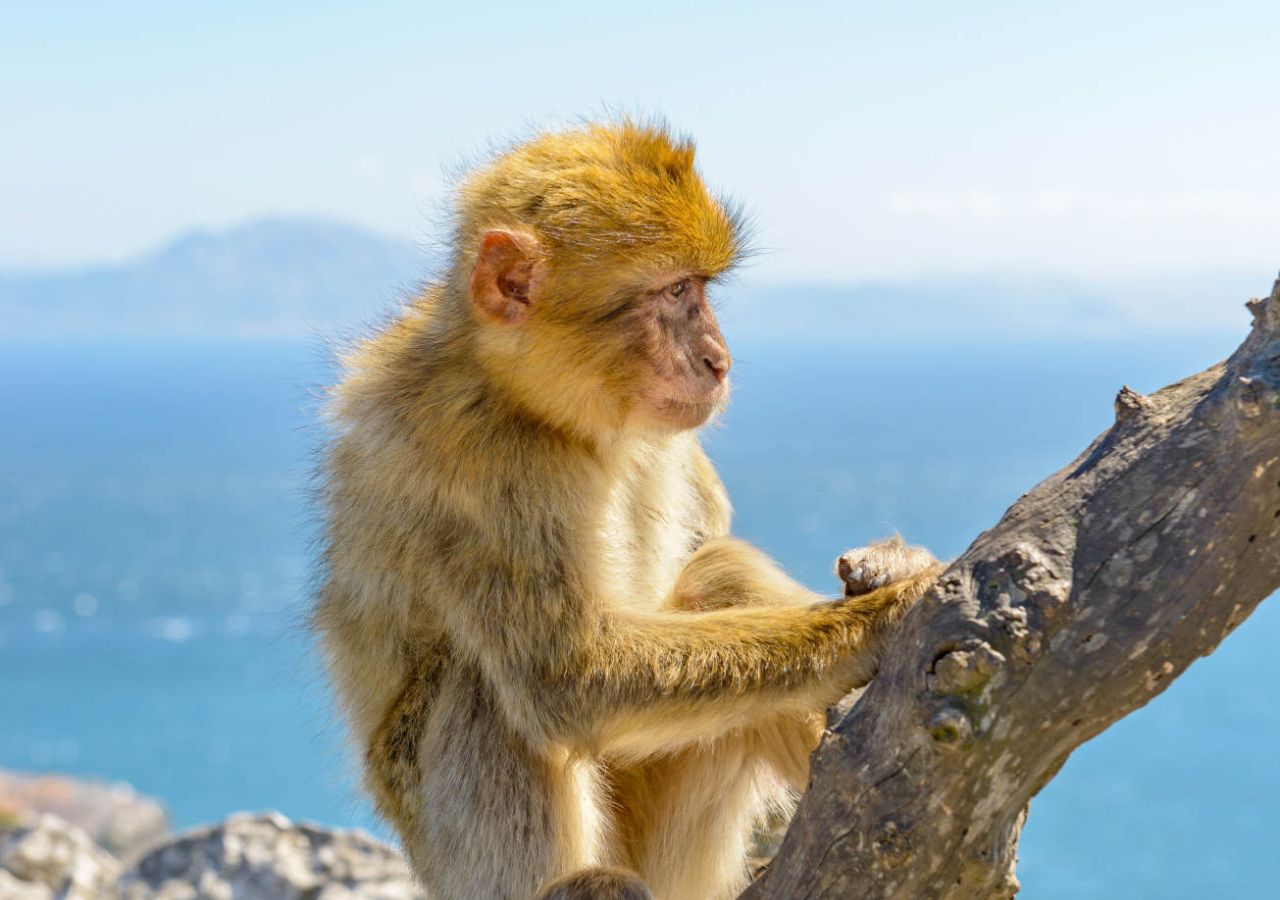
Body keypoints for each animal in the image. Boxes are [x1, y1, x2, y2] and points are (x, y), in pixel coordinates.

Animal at [313, 121, 943, 900]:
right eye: (672, 292)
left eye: (699, 289)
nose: (717, 360)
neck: (553, 414)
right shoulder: (478, 464)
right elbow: (570, 679)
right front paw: (884, 616)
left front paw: (892, 567)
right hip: (459, 868)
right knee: (487, 686)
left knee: (718, 576)